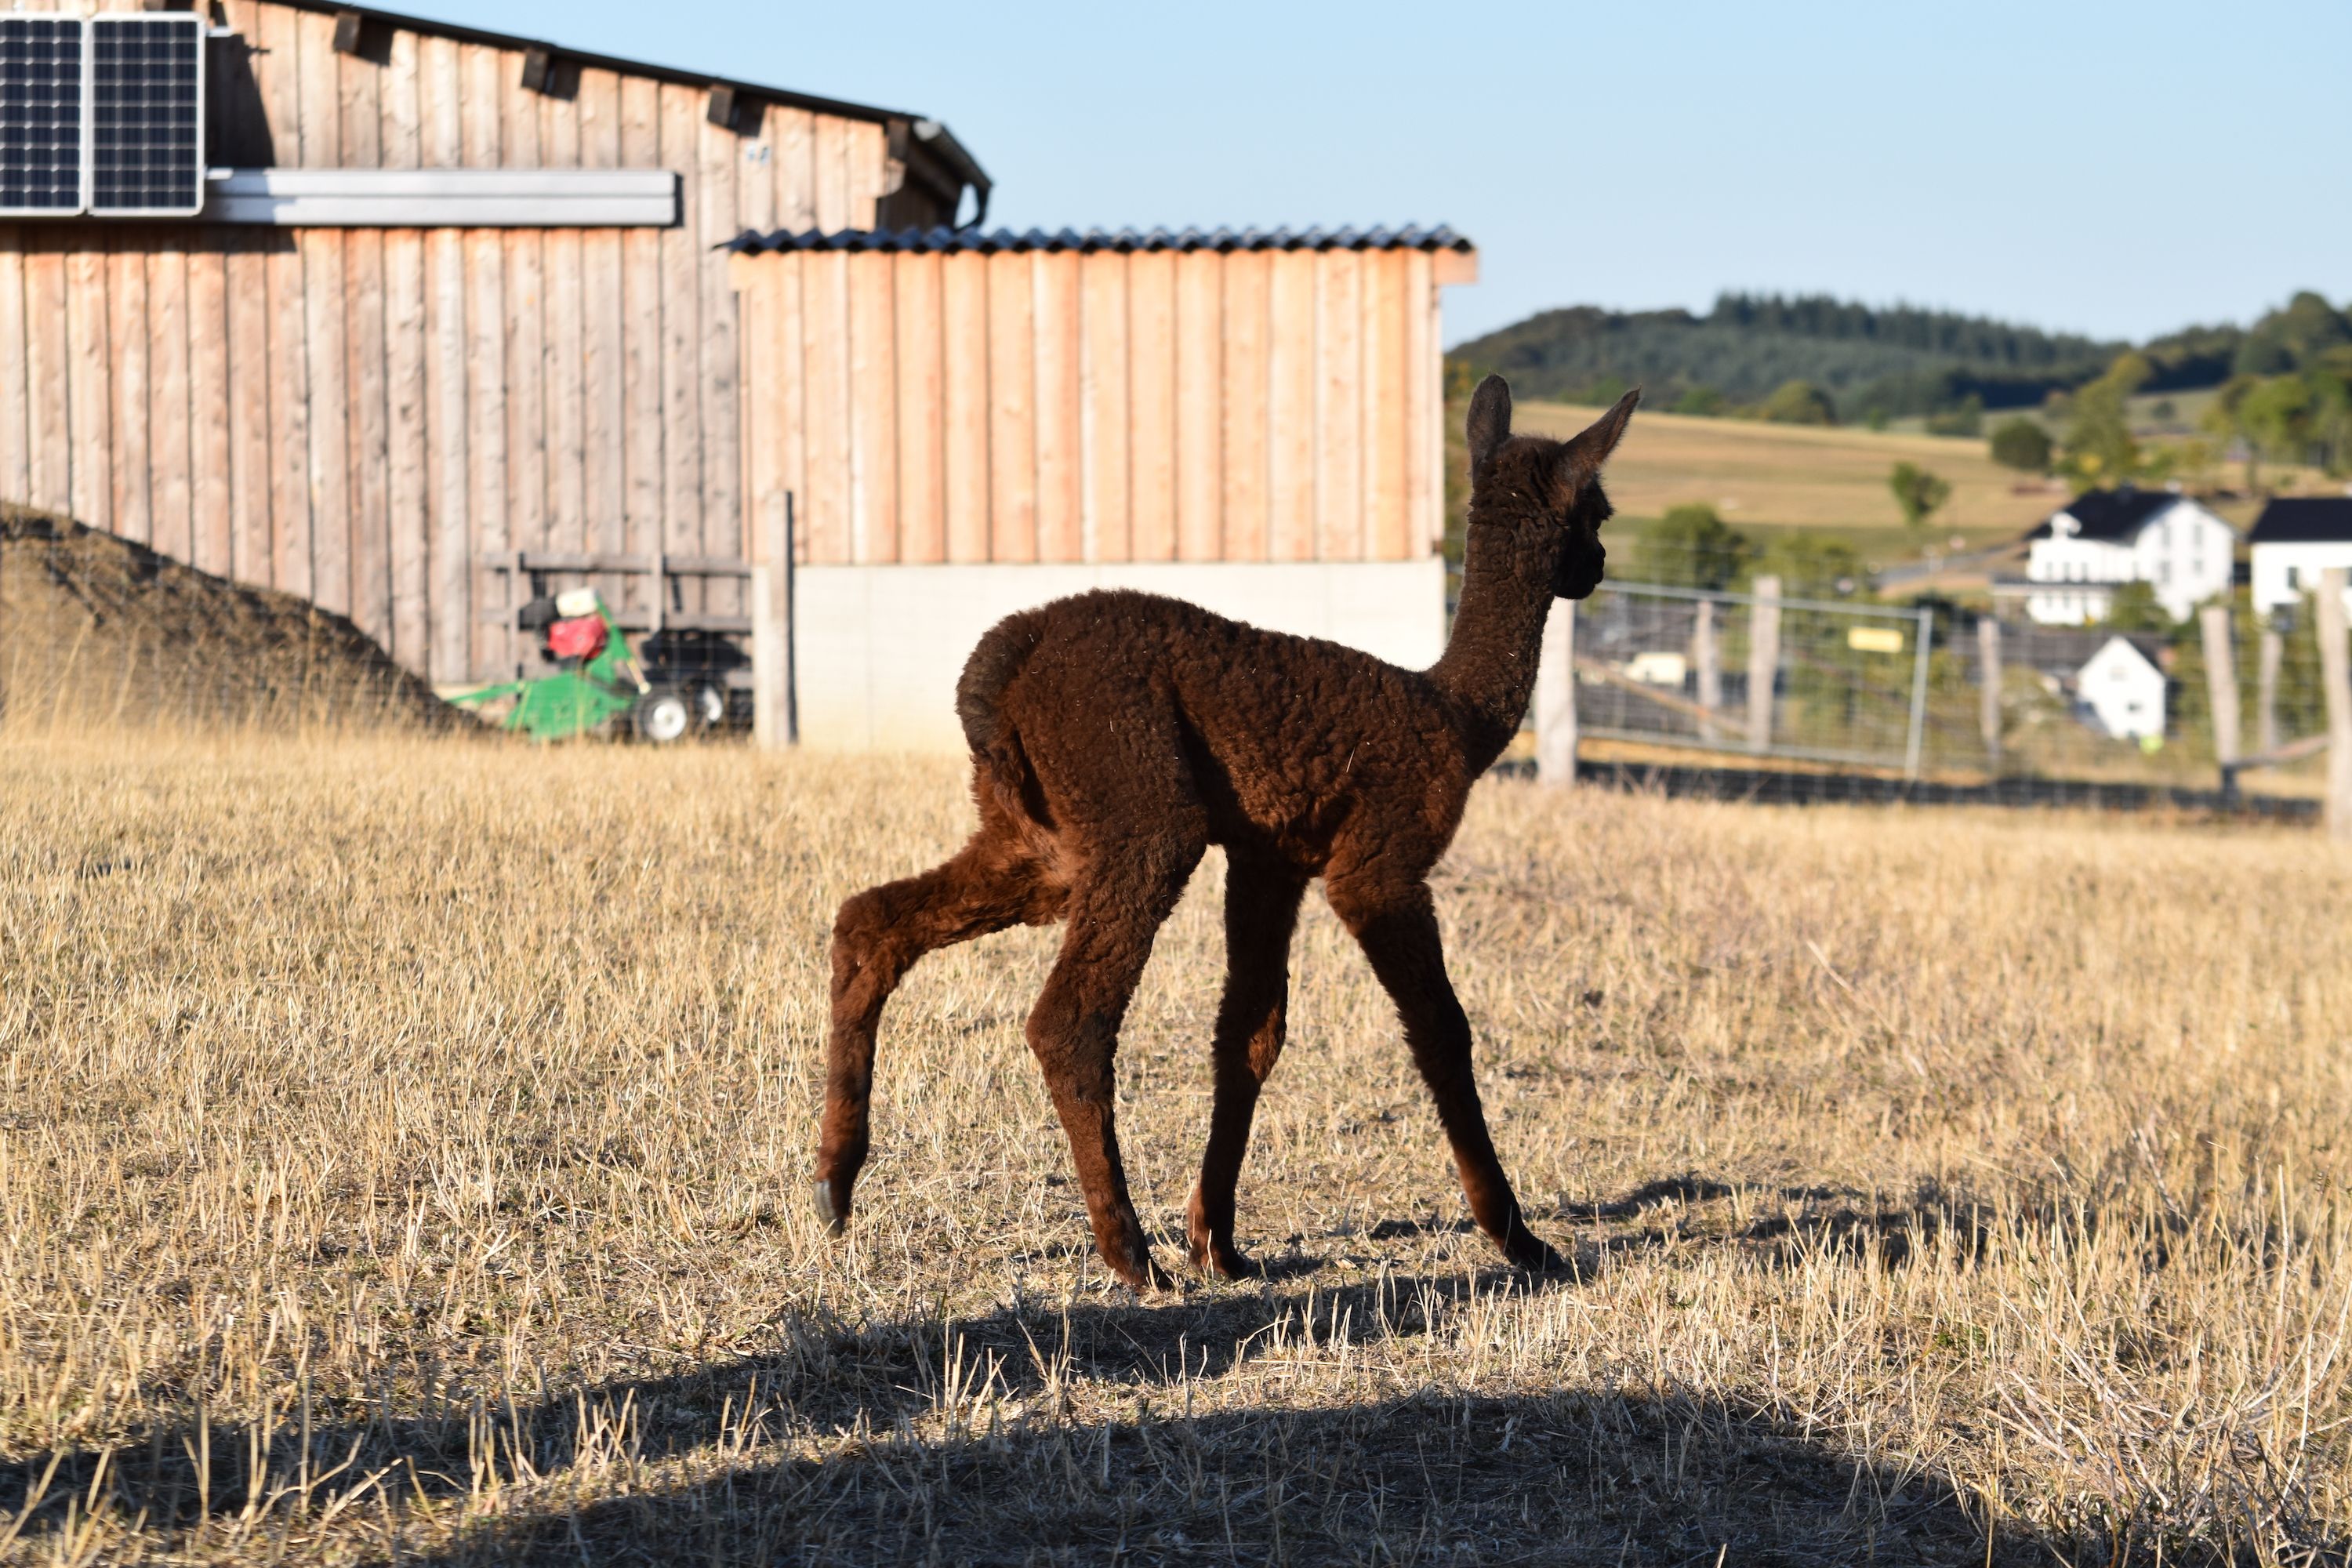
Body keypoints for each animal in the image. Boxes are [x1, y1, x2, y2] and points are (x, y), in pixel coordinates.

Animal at [818, 377, 1637, 1290]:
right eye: (1598, 509)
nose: (1601, 565)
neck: (1454, 715)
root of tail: (1003, 662)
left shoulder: (1270, 858)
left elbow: (1249, 1035)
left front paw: (1219, 1240)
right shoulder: (1379, 864)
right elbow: (1441, 1030)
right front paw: (1520, 1238)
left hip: (1040, 837)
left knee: (872, 917)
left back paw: (835, 1184)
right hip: (1136, 804)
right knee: (1068, 1021)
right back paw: (1130, 1253)